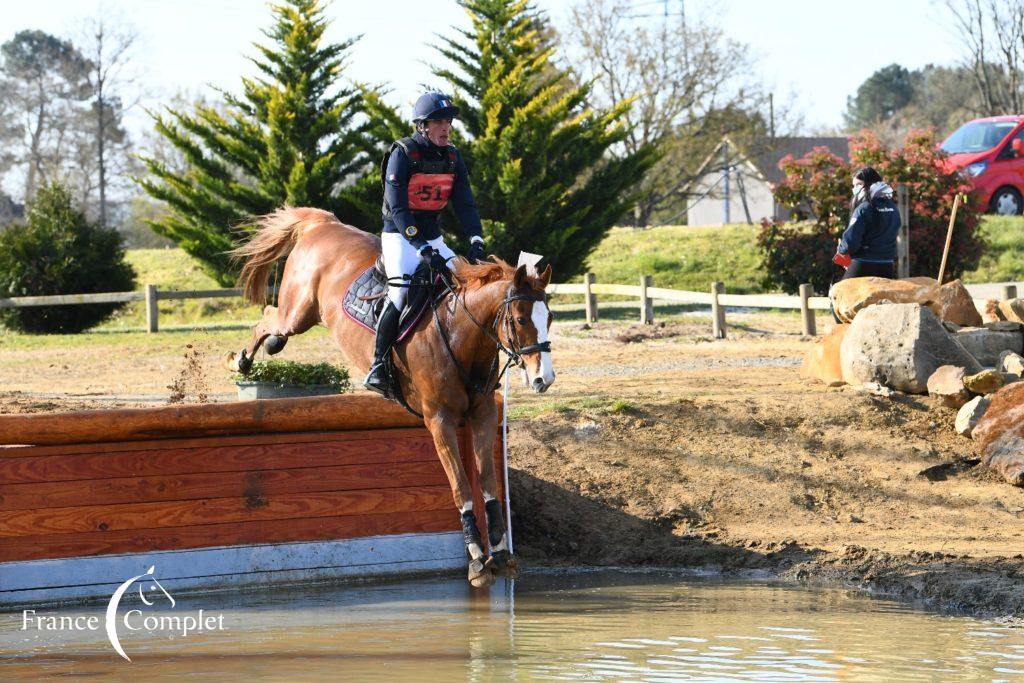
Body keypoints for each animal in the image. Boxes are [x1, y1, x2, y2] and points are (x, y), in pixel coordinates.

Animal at [223, 206, 557, 589]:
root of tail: (323, 224)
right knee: (268, 319)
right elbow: (461, 486)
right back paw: (240, 360)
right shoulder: (439, 420)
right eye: (520, 319)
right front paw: (476, 559)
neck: (461, 335)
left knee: (272, 325)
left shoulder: (484, 413)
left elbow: (487, 483)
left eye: (549, 317)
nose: (544, 379)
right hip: (298, 311)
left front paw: (499, 554)